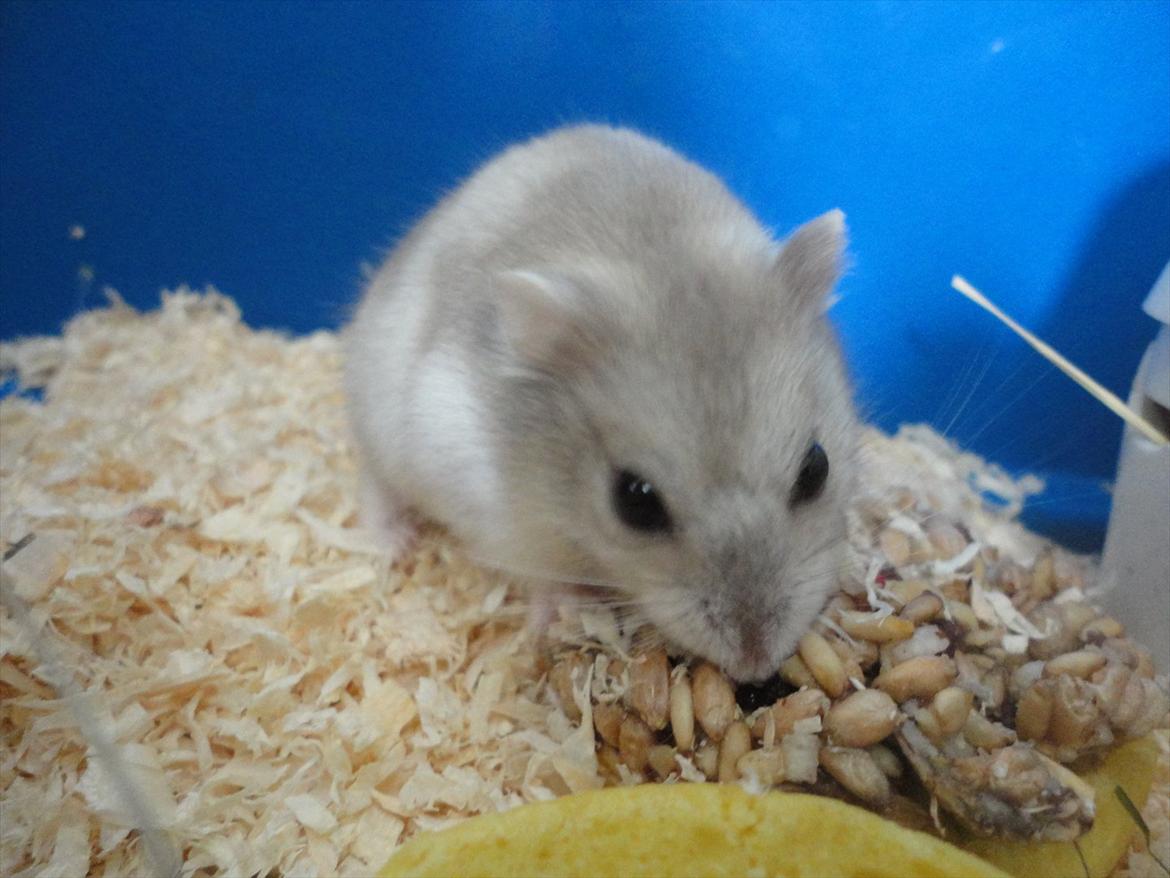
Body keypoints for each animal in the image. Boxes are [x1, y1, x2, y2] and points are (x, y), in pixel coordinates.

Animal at [344, 125, 859, 682]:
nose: (756, 666)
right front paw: (562, 616)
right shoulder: (489, 504)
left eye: (817, 468)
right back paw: (397, 545)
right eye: (633, 502)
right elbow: (539, 572)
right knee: (374, 484)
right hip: (381, 424)